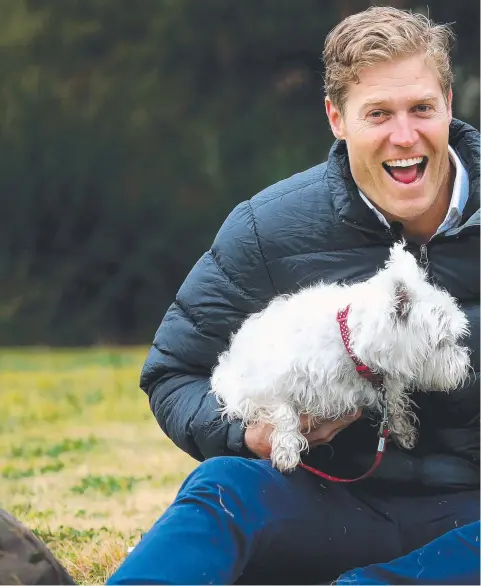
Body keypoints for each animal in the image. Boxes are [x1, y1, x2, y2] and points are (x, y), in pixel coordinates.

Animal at [210, 242, 468, 470]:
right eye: (442, 341)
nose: (464, 367)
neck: (351, 349)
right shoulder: (263, 386)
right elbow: (284, 412)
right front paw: (286, 450)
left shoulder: (385, 387)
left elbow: (394, 405)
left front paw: (404, 431)